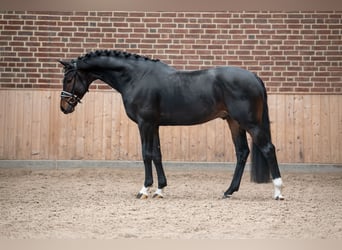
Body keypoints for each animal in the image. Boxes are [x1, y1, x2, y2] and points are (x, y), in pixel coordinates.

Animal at [58, 49, 284, 200]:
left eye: (69, 79)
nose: (63, 107)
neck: (136, 77)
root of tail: (254, 76)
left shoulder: (145, 124)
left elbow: (146, 153)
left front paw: (144, 189)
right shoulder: (155, 125)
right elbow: (157, 154)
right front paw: (160, 189)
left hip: (250, 123)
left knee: (268, 149)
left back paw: (278, 192)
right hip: (234, 122)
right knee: (242, 152)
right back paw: (229, 191)